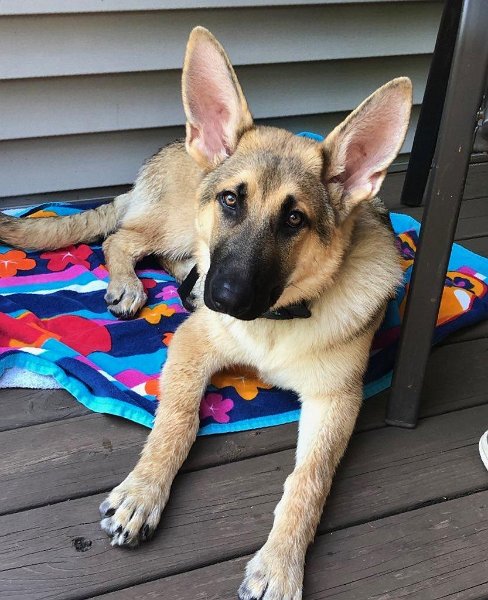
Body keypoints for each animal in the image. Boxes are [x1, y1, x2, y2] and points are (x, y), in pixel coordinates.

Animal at [0, 28, 412, 600]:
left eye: (295, 220)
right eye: (231, 200)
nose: (224, 297)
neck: (273, 325)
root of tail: (178, 144)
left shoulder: (336, 400)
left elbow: (309, 479)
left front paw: (280, 563)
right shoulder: (192, 343)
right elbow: (177, 420)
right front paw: (143, 491)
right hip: (176, 224)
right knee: (120, 239)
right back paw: (130, 284)